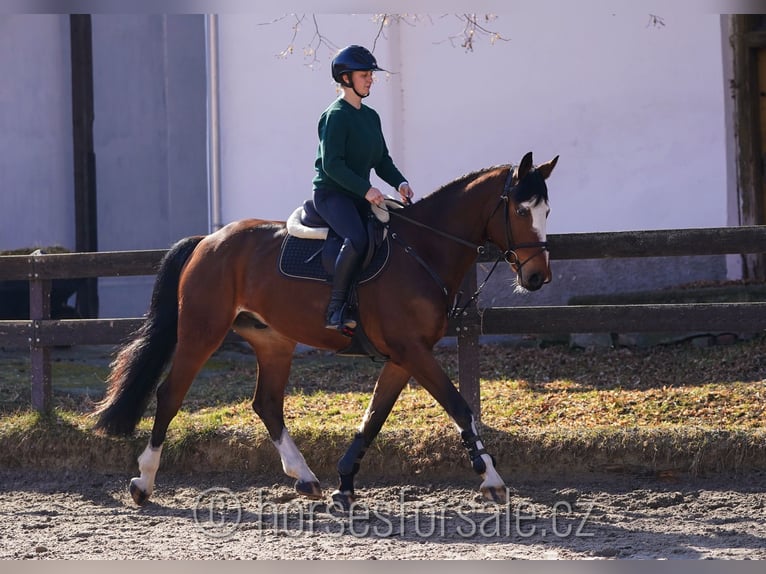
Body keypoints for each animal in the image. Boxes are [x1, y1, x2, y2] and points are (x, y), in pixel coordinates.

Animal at [93, 152, 560, 508]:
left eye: (547, 211)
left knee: (266, 404)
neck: (422, 249)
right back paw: (144, 481)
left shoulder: (403, 357)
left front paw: (345, 483)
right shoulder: (412, 351)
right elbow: (460, 407)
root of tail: (208, 241)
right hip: (201, 333)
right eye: (521, 210)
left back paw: (304, 476)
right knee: (170, 396)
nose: (537, 277)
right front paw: (491, 478)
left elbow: (373, 418)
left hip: (273, 341)